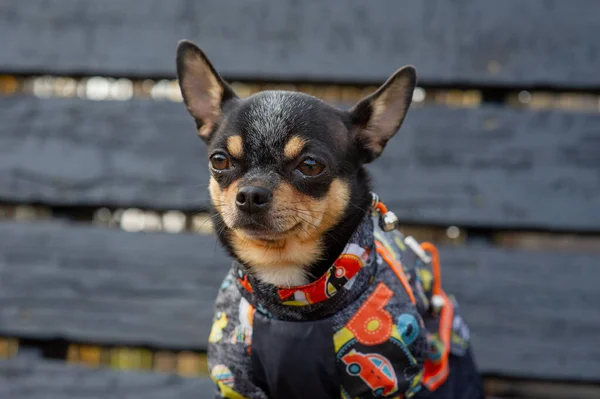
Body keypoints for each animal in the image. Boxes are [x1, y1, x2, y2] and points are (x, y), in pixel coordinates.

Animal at [175, 40, 482, 399]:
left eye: (310, 166)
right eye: (219, 160)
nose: (250, 194)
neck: (292, 303)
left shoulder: (387, 379)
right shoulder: (237, 383)